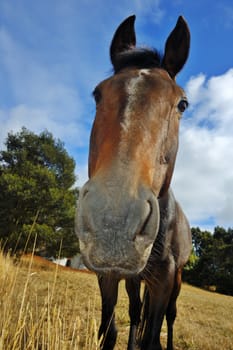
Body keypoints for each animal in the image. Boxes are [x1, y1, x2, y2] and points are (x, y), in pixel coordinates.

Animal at [75, 14, 192, 350]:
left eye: (182, 104)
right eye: (98, 93)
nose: (114, 221)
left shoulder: (165, 278)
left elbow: (153, 334)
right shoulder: (110, 275)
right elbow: (110, 330)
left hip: (176, 279)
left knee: (169, 317)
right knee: (137, 312)